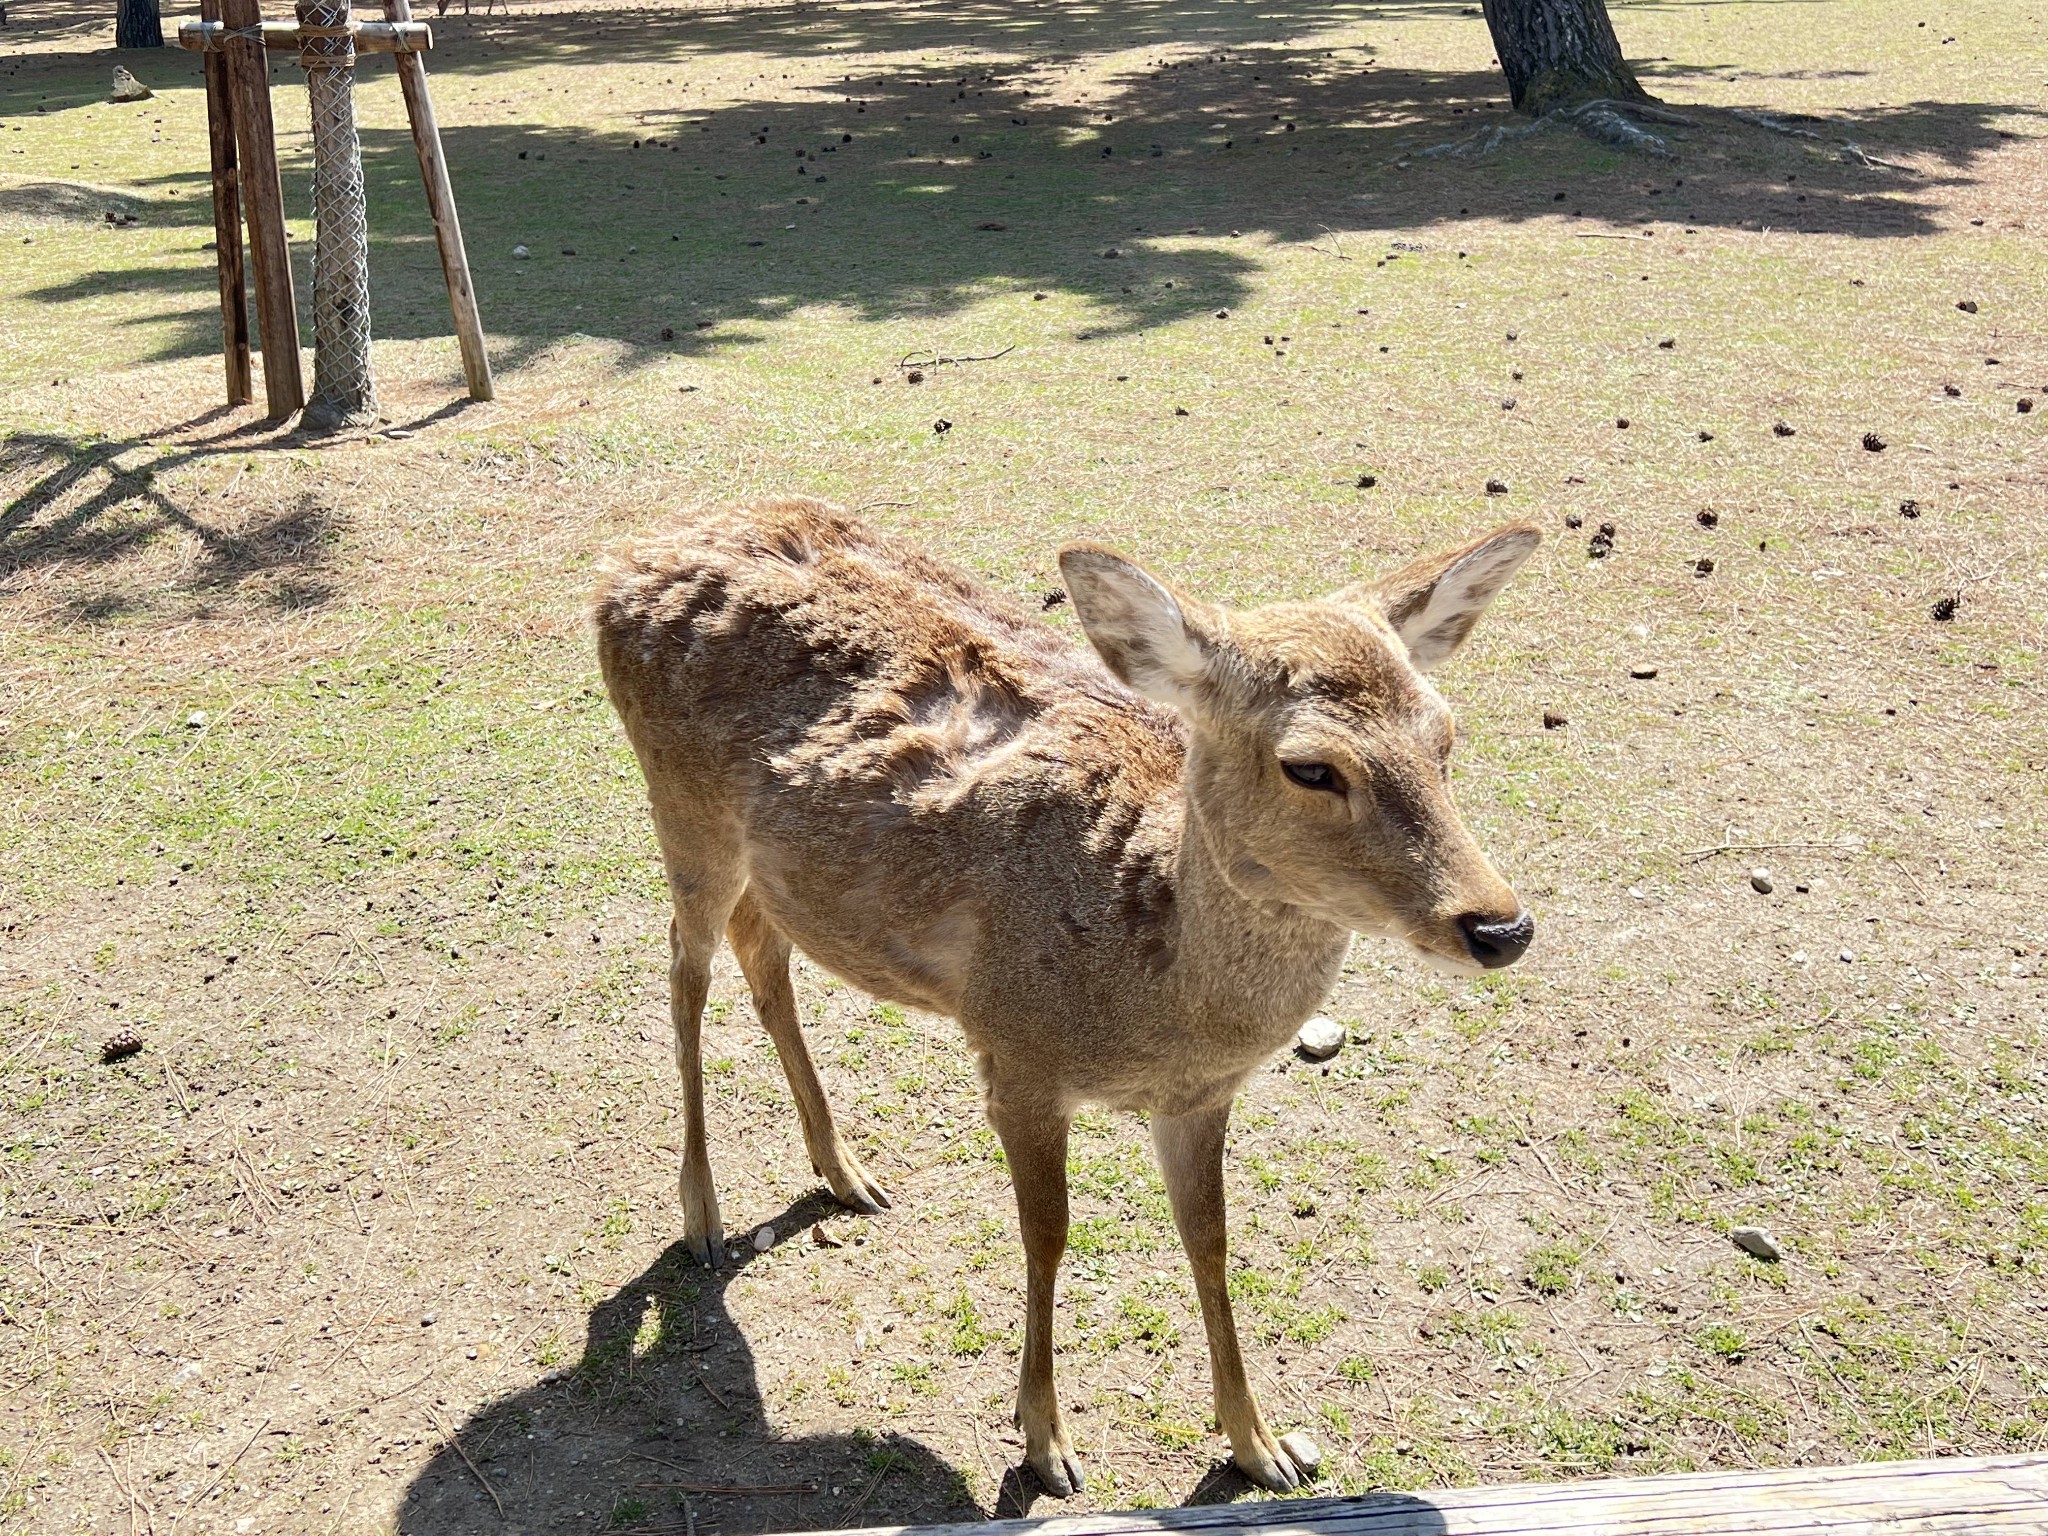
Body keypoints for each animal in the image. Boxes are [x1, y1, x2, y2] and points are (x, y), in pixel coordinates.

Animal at [593, 499, 1540, 1499]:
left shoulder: (1200, 1097)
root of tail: (630, 556)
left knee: (760, 946)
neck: (1154, 995)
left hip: (769, 865)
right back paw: (702, 1215)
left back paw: (845, 1171)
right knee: (685, 965)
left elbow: (1211, 1240)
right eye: (1311, 767)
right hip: (680, 801)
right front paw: (1044, 1441)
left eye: (1445, 735)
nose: (1500, 925)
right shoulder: (1016, 1053)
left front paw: (1262, 1446)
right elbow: (1047, 1235)